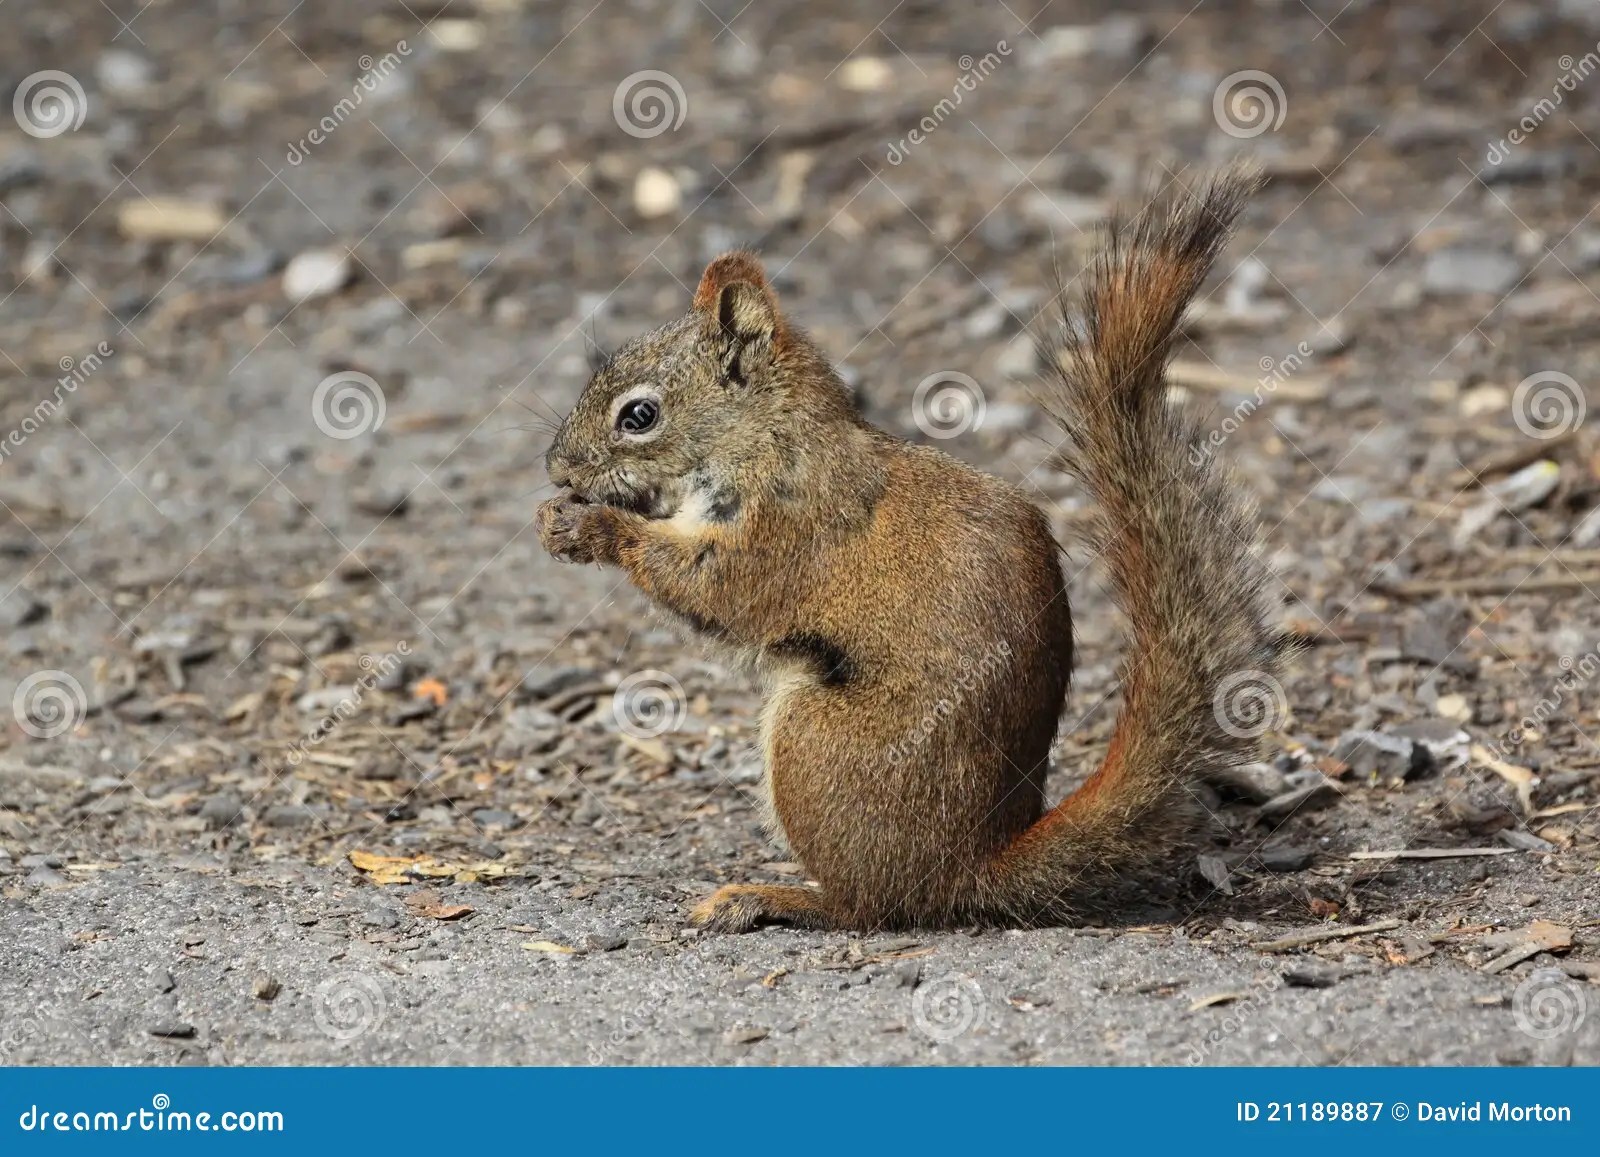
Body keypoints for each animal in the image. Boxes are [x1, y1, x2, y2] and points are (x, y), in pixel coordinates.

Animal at [537, 166, 1283, 931]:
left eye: (640, 415)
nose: (558, 469)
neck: (771, 438)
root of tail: (968, 869)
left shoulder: (791, 526)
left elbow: (715, 588)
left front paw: (590, 529)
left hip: (815, 739)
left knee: (866, 904)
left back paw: (774, 896)